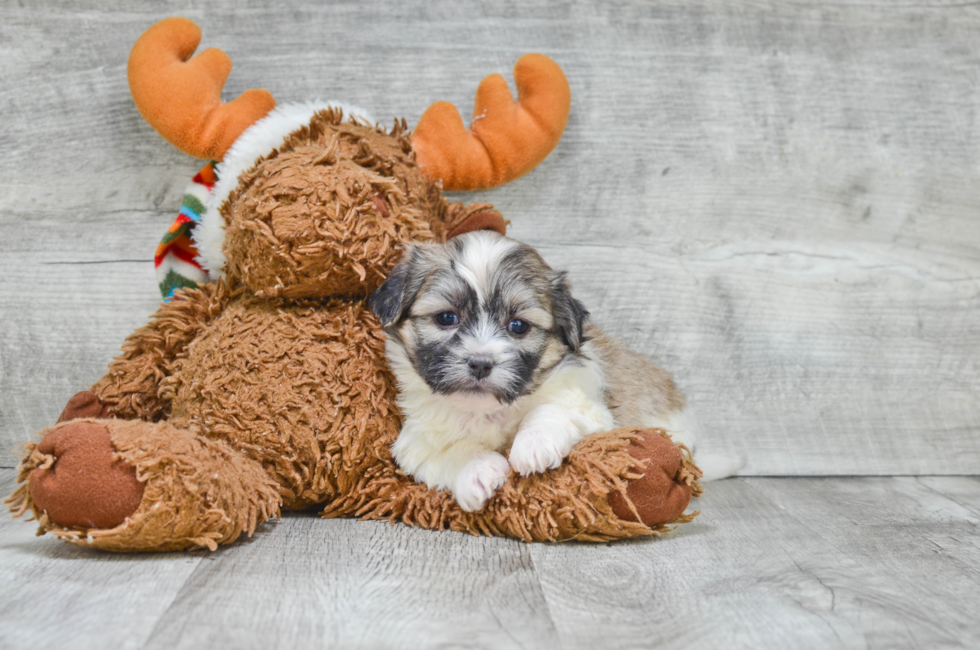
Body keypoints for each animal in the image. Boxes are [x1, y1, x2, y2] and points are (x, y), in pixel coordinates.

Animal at [372, 230, 716, 508]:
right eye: (446, 318)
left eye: (518, 326)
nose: (481, 363)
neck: (488, 411)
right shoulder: (417, 441)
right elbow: (447, 450)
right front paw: (477, 469)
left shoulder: (588, 405)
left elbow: (551, 408)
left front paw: (534, 443)